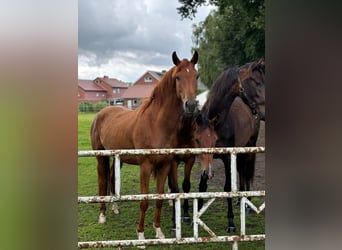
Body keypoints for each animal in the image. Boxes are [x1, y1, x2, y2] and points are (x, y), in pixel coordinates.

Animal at [89, 50, 199, 240]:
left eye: (196, 75)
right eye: (178, 77)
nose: (190, 105)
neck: (156, 124)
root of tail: (101, 113)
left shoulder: (165, 165)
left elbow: (159, 199)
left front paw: (159, 232)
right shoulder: (146, 167)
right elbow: (144, 201)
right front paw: (140, 235)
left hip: (117, 158)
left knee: (111, 177)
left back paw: (115, 207)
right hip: (100, 156)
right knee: (102, 181)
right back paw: (102, 215)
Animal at [200, 59, 268, 233]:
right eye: (256, 81)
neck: (214, 123)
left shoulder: (226, 158)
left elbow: (227, 187)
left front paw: (231, 223)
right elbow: (202, 184)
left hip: (250, 147)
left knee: (247, 172)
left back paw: (248, 202)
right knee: (242, 172)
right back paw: (240, 200)